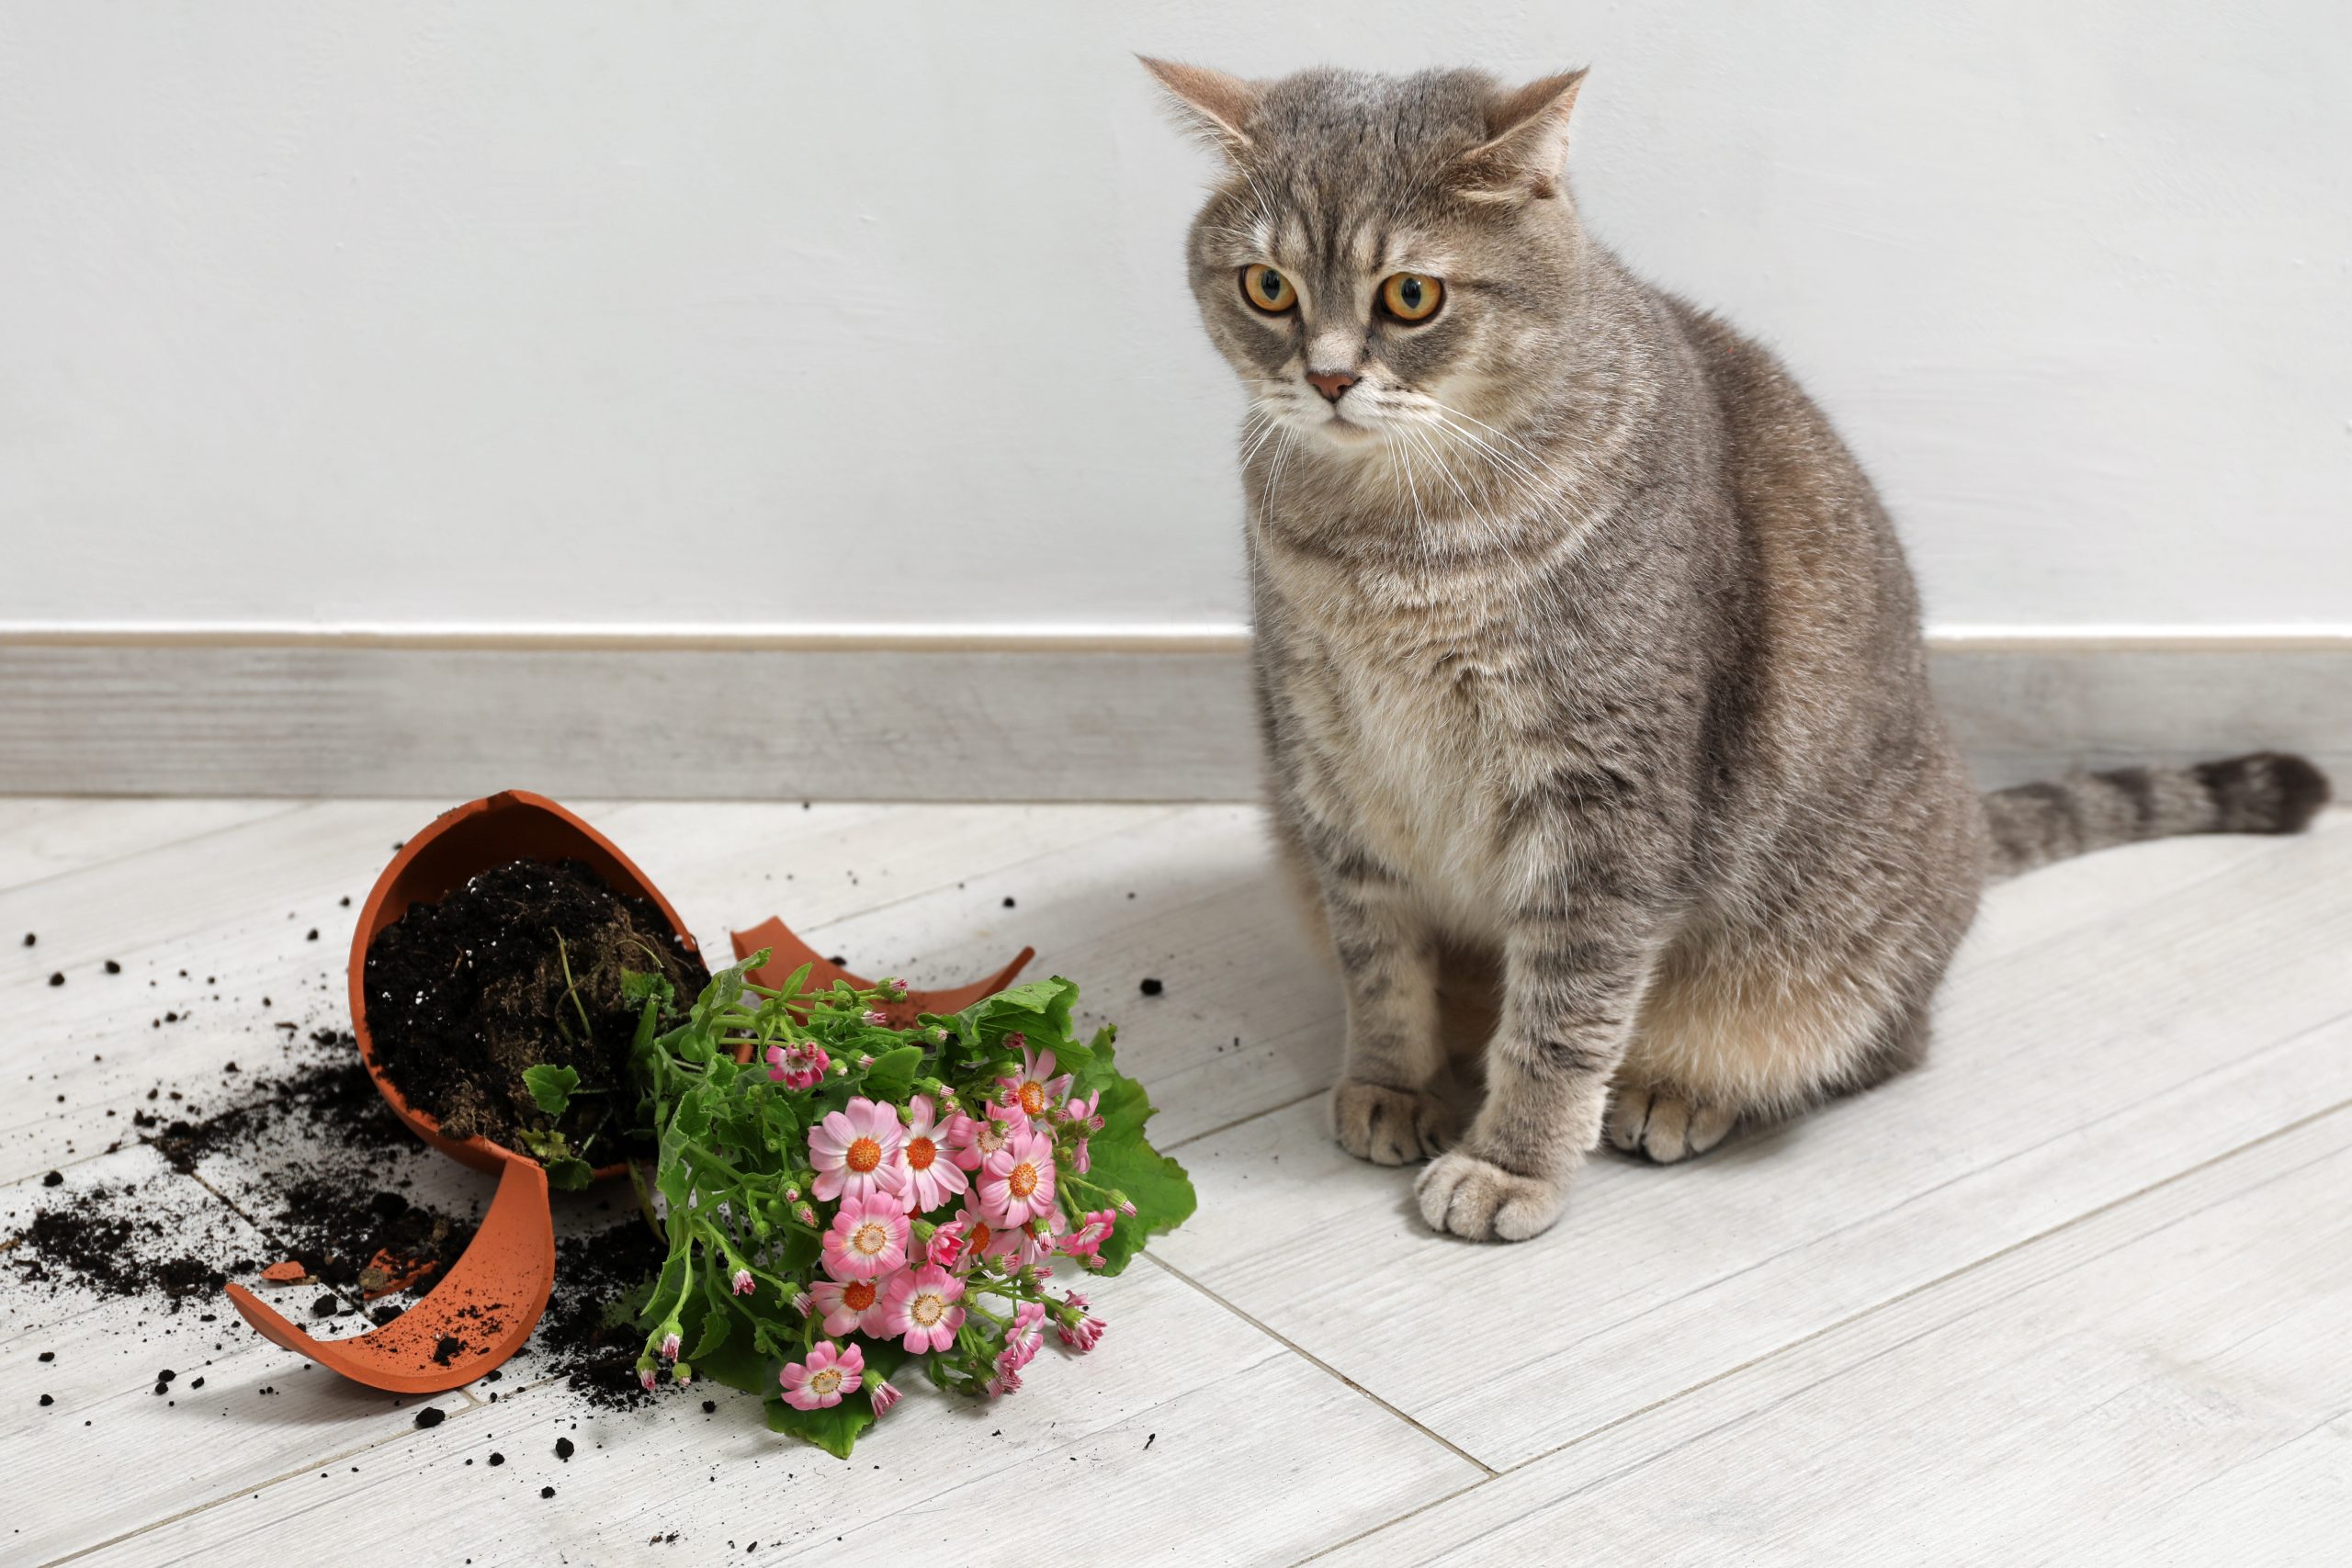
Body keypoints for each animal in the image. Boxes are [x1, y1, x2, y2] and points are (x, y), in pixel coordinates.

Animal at [1148, 58, 2324, 1241]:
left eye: (1409, 297)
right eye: (1266, 288)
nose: (1328, 378)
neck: (1390, 540)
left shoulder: (1605, 806)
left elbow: (1563, 1016)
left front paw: (1513, 1162)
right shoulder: (1332, 776)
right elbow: (1380, 965)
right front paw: (1393, 1081)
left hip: (1827, 954)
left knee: (1862, 1047)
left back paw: (1679, 1092)